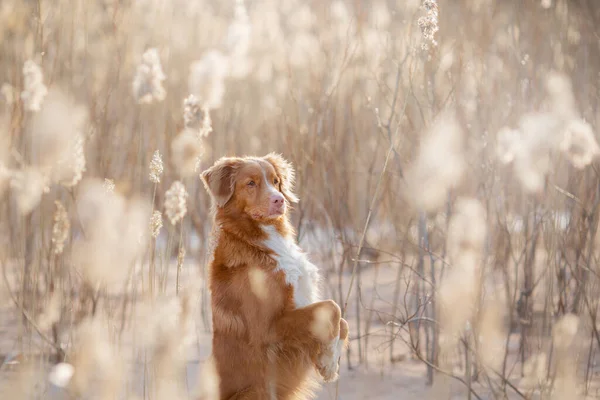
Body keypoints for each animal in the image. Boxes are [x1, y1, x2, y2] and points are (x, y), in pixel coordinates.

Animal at [198, 154, 346, 400]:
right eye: (251, 183)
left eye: (276, 181)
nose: (280, 200)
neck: (261, 238)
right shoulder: (267, 328)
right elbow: (332, 307)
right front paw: (327, 360)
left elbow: (341, 321)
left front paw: (330, 362)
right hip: (256, 391)